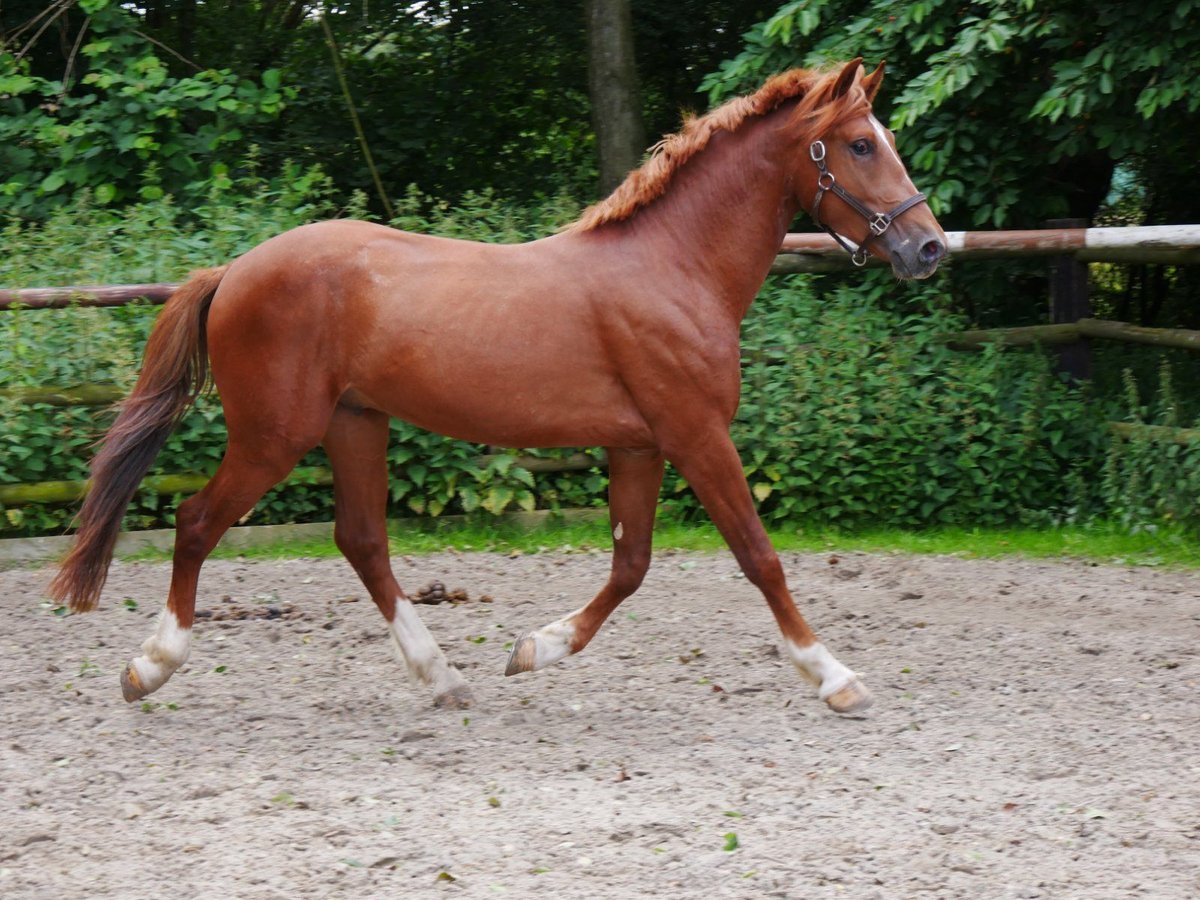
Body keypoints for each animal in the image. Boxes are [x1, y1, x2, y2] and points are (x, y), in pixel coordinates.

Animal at [49, 60, 945, 715]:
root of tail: (232, 271)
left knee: (362, 542)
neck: (674, 268)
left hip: (354, 424)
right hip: (277, 435)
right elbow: (759, 556)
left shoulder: (639, 445)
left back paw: (443, 677)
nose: (928, 247)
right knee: (198, 523)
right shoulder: (696, 435)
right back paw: (151, 667)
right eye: (859, 145)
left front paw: (533, 650)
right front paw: (835, 678)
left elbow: (632, 565)